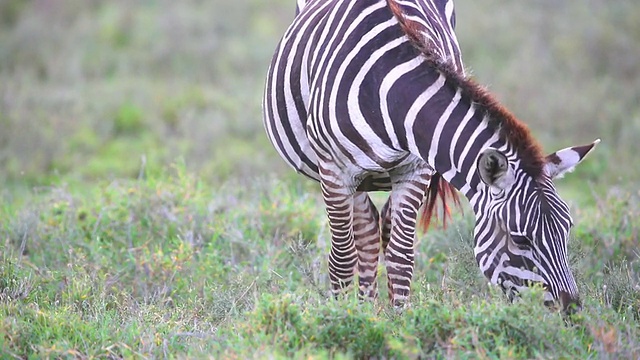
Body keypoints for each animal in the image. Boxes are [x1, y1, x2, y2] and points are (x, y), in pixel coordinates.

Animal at [262, 0, 600, 312]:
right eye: (520, 239)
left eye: (567, 229)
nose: (571, 311)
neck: (391, 94)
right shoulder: (335, 171)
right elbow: (343, 259)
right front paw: (342, 320)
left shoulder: (417, 169)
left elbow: (401, 258)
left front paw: (396, 324)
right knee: (363, 235)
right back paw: (362, 311)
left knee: (375, 229)